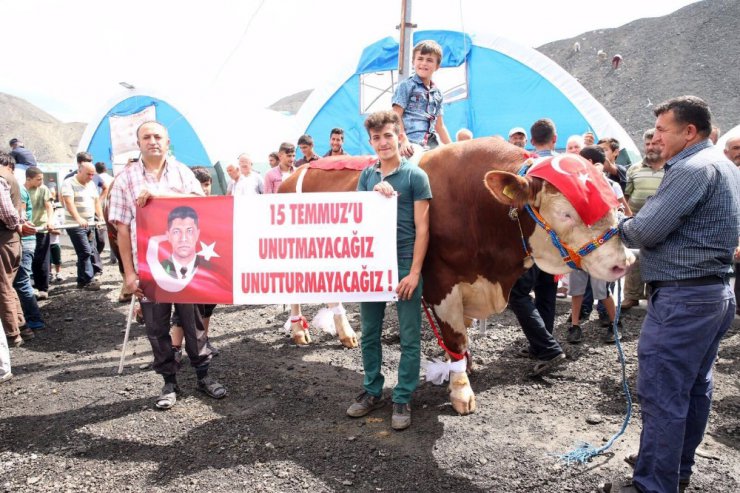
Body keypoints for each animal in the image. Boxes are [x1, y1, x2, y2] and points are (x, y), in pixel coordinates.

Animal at [280, 140, 632, 414]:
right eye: (565, 213)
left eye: (614, 203)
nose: (623, 262)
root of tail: (292, 174)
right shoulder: (441, 281)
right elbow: (455, 337)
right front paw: (461, 389)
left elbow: (462, 335)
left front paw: (465, 366)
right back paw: (299, 331)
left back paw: (345, 334)